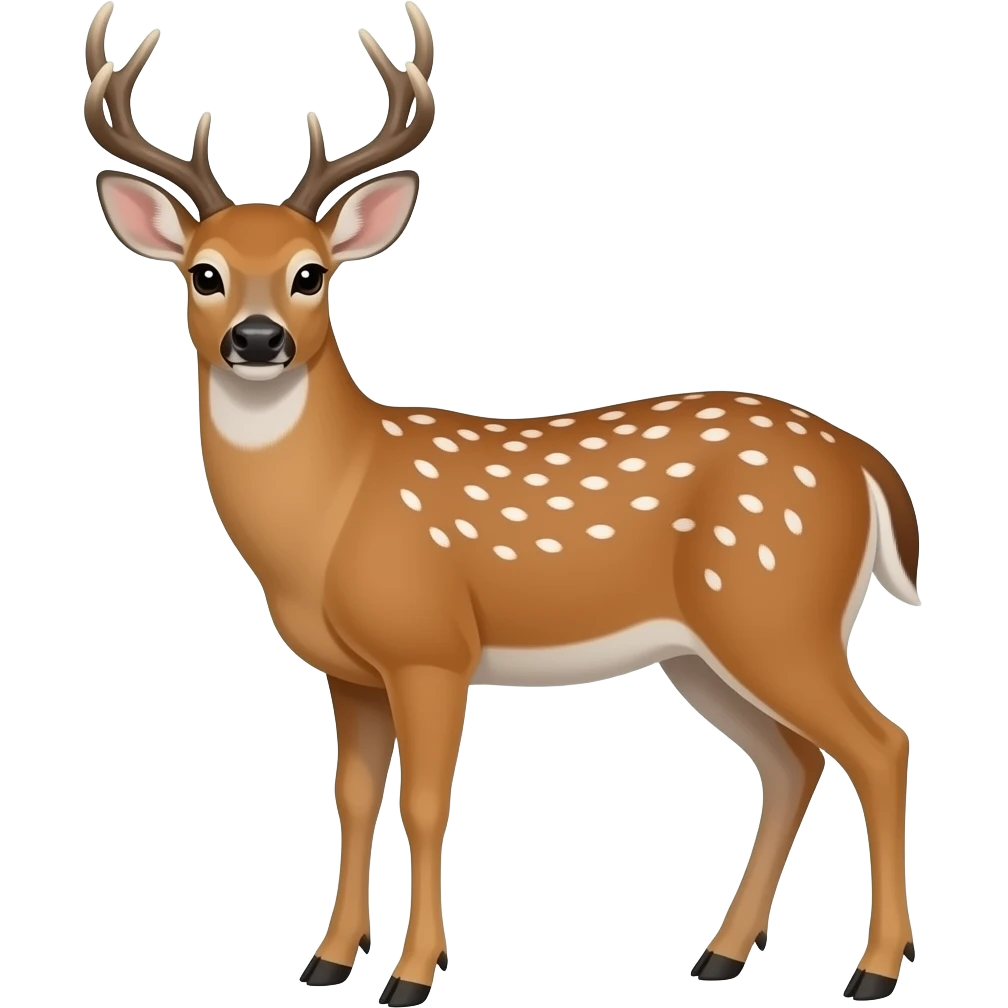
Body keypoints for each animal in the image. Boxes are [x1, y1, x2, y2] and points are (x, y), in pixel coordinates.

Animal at [84, 2, 919, 1003]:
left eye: (311, 272)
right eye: (203, 272)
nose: (257, 339)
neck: (332, 514)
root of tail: (866, 464)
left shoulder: (431, 644)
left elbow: (426, 802)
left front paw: (410, 975)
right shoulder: (350, 671)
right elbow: (351, 797)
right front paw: (327, 961)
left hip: (777, 607)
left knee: (879, 745)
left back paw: (872, 969)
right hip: (706, 647)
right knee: (794, 761)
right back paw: (720, 954)